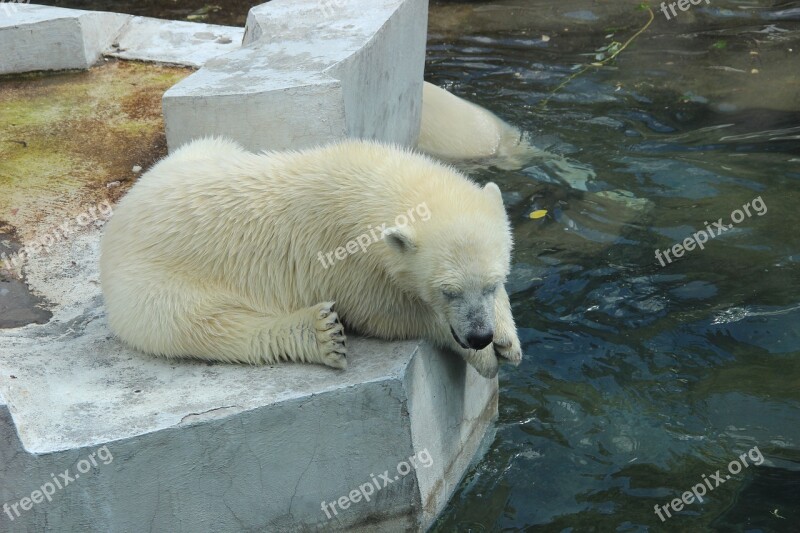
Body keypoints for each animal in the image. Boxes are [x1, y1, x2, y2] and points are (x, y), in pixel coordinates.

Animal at [100, 138, 520, 378]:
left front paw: (507, 338)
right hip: (150, 284)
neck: (367, 183)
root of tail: (120, 215)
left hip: (204, 151)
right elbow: (386, 313)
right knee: (203, 324)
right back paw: (321, 334)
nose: (479, 335)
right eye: (447, 292)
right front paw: (483, 357)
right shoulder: (349, 258)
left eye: (493, 283)